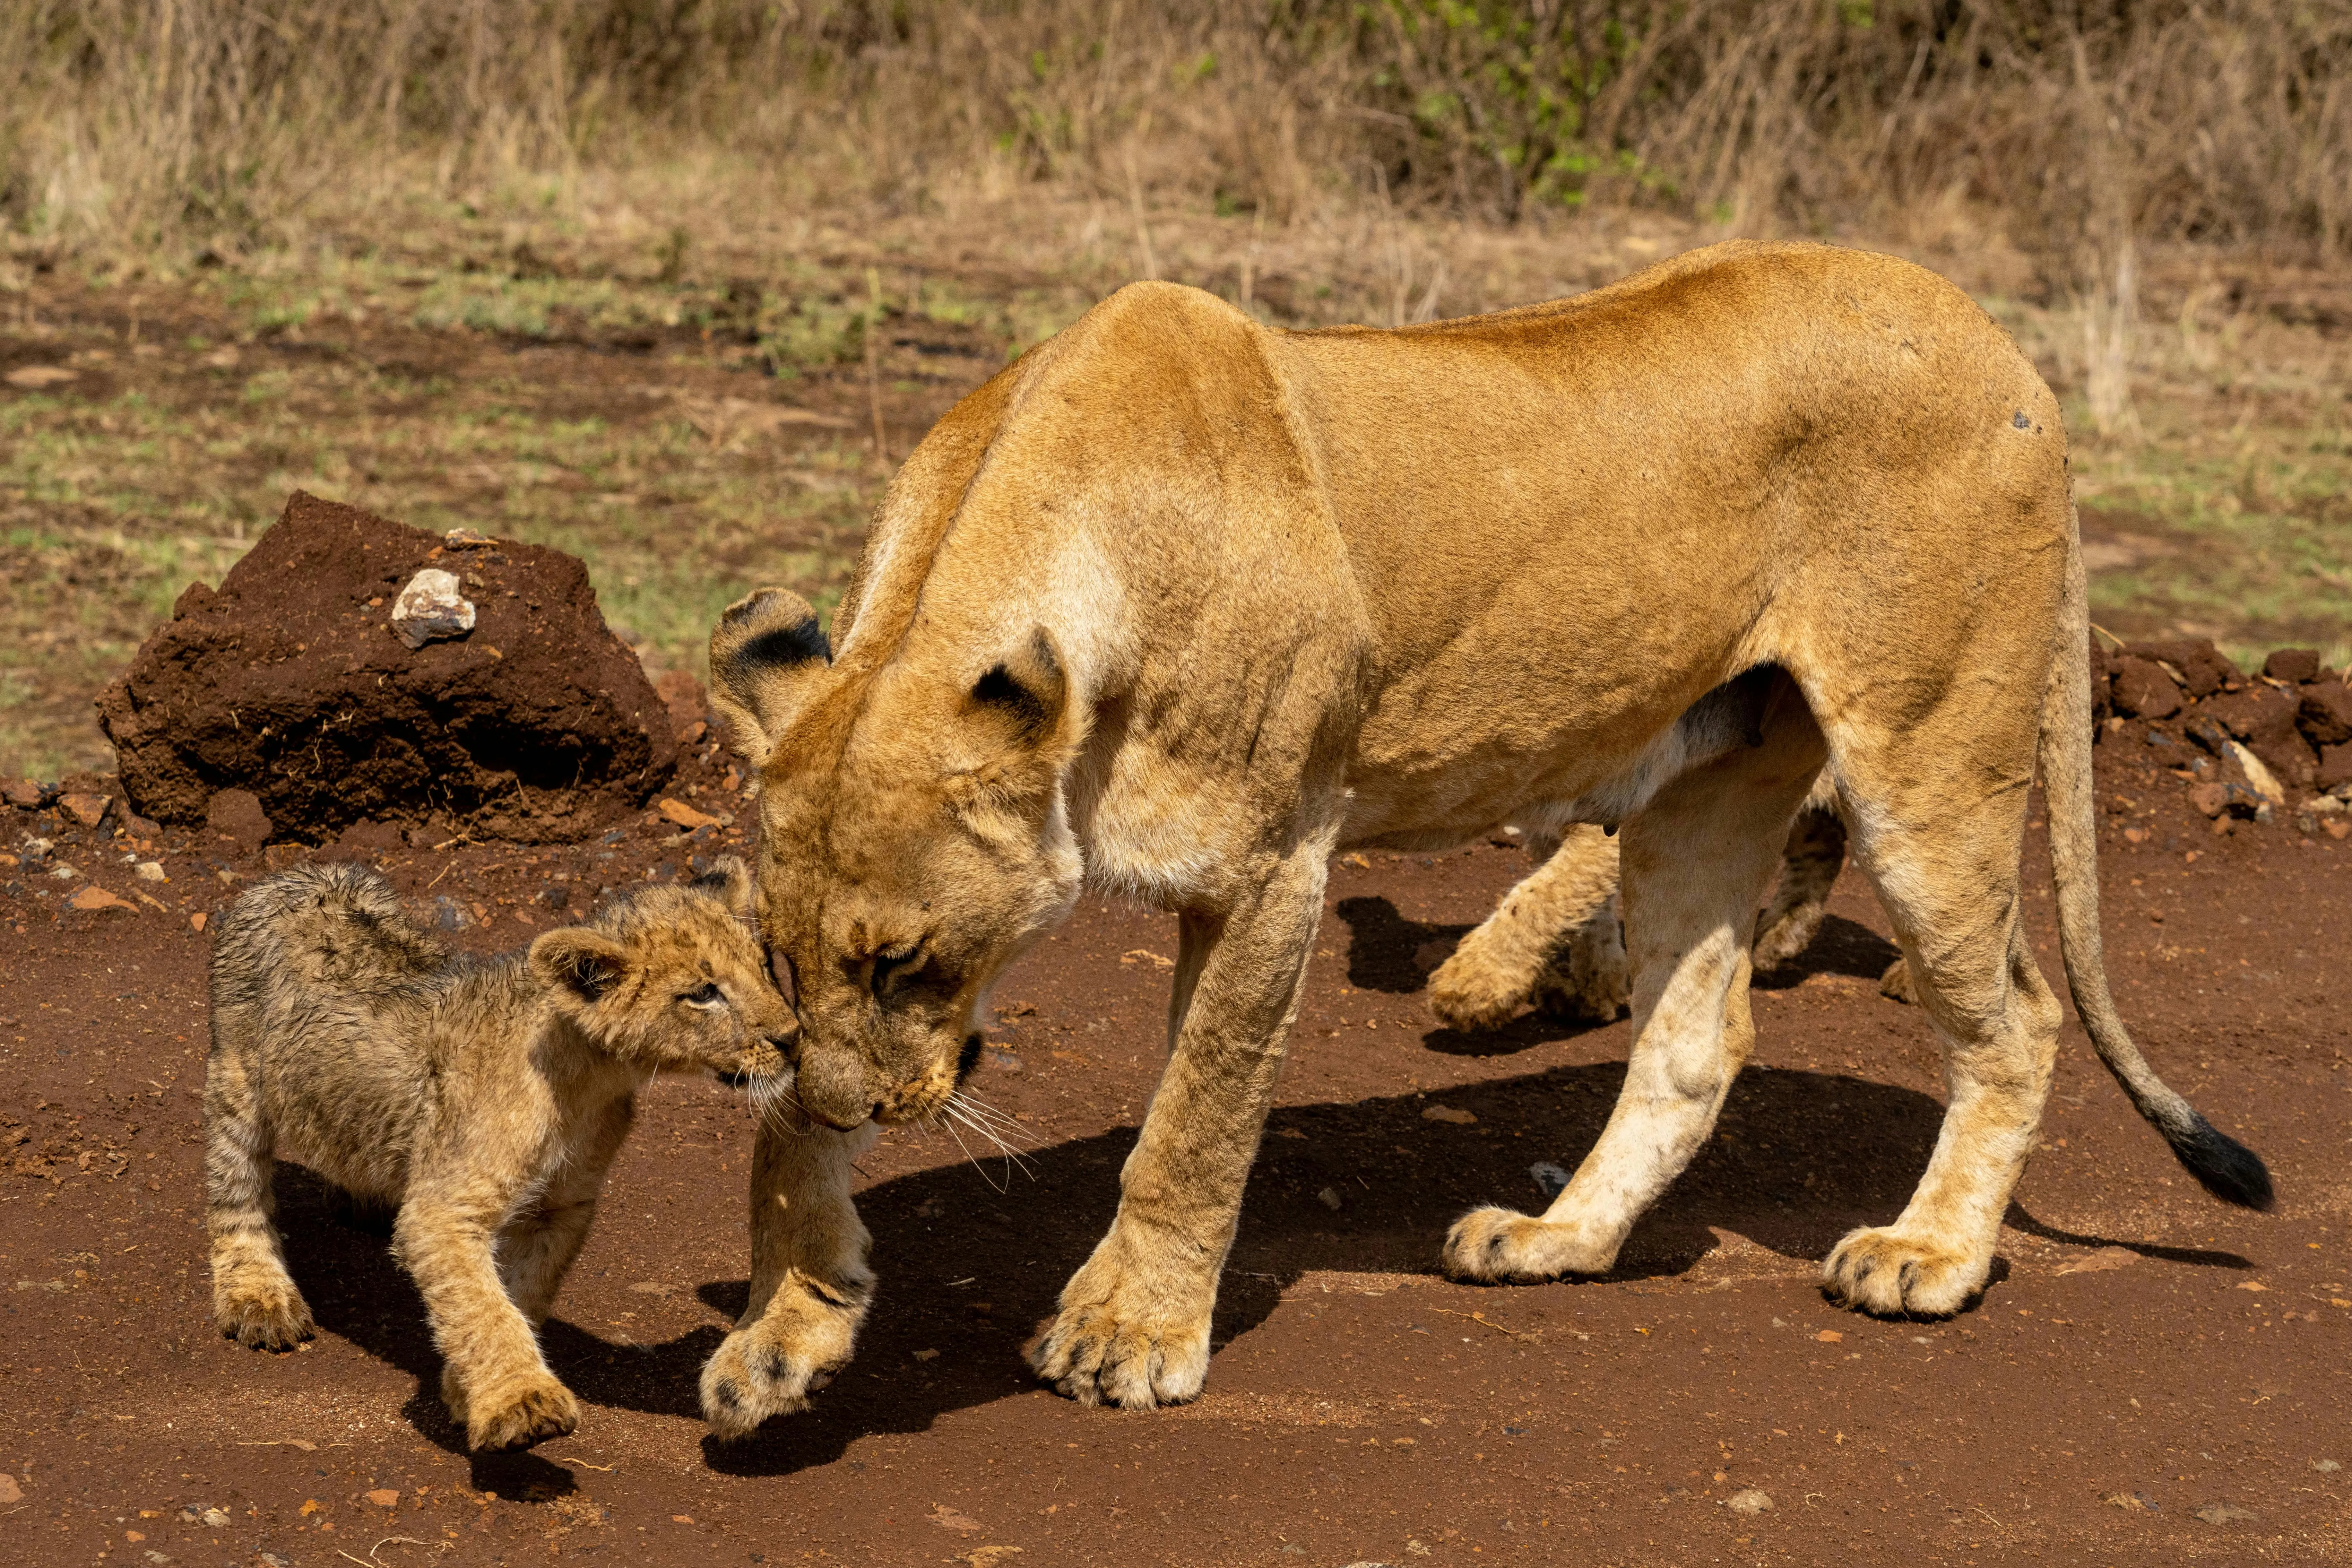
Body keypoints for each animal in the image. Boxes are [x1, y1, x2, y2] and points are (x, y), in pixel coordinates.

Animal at [205, 860, 793, 1451]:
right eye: (703, 992)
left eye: (765, 965)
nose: (793, 1037)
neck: (589, 1080)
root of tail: (296, 874)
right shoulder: (444, 1209)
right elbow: (483, 1306)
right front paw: (522, 1402)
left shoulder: (560, 1205)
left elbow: (522, 1294)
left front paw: (464, 1389)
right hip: (239, 1077)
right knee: (236, 1188)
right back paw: (258, 1297)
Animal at [695, 239, 2270, 1431]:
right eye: (781, 959)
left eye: (909, 961)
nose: (862, 1104)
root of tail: (1998, 342)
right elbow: (781, 1130)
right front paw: (789, 1326)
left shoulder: (1272, 864)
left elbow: (1193, 1124)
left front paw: (1127, 1335)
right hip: (1705, 786)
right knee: (1695, 1037)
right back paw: (1556, 1238)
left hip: (1929, 750)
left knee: (2015, 1014)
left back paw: (1928, 1255)